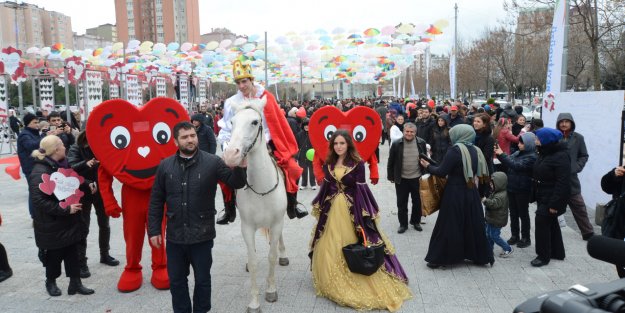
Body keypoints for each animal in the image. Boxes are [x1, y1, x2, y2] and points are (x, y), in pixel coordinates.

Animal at [222, 96, 290, 310]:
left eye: (254, 122)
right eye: (232, 122)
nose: (231, 154)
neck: (261, 188)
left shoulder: (276, 223)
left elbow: (271, 256)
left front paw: (271, 291)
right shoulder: (247, 227)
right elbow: (252, 261)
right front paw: (254, 303)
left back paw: (283, 255)